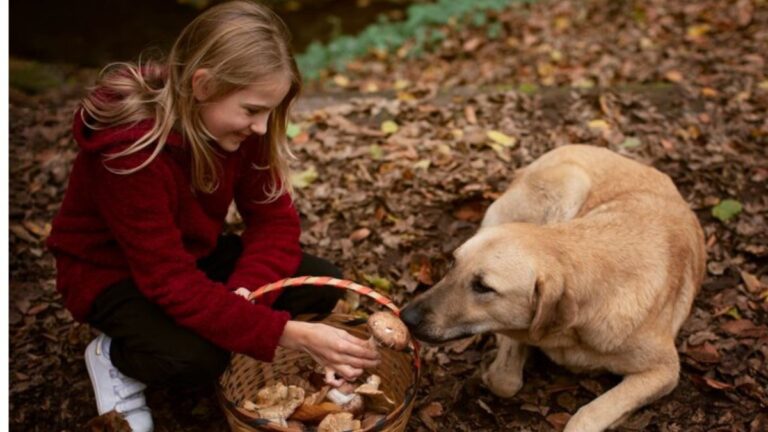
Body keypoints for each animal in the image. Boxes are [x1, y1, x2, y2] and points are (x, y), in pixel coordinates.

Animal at [402, 145, 708, 432]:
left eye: (483, 287)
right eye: (453, 263)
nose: (406, 317)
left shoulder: (665, 370)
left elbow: (589, 414)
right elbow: (505, 379)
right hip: (569, 185)